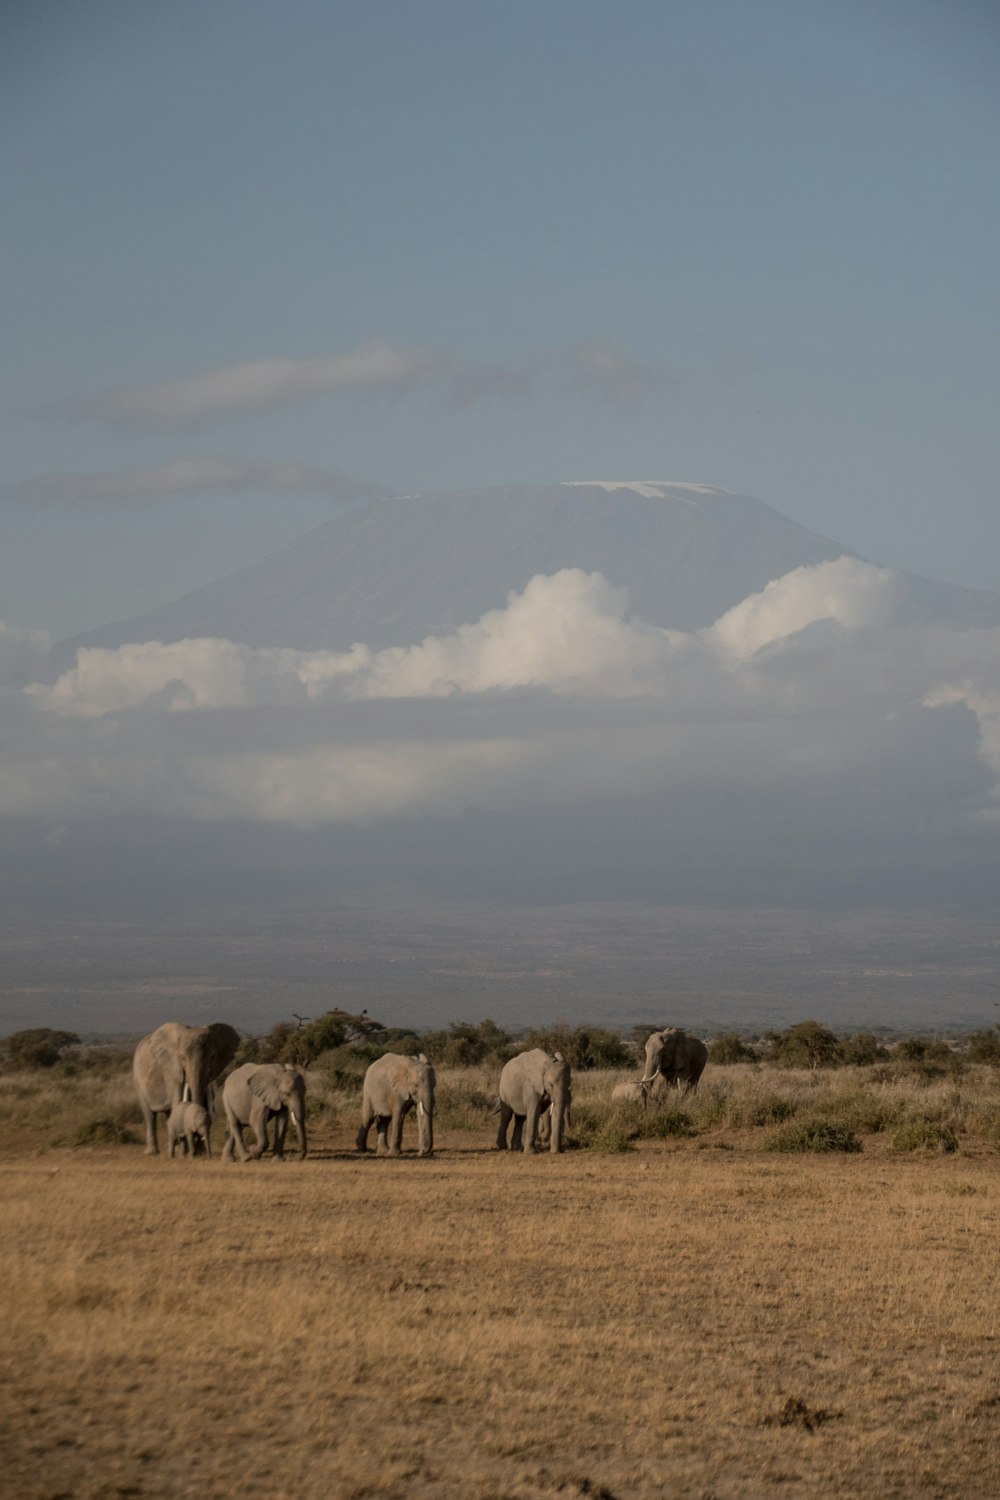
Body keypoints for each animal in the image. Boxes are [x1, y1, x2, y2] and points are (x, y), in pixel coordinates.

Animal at [131, 1020, 239, 1158]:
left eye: (212, 1057)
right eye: (182, 1058)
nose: (199, 1145)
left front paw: (196, 1152)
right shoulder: (171, 1070)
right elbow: (178, 1100)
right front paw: (186, 1152)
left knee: (169, 1113)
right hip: (138, 1080)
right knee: (149, 1114)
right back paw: (152, 1152)